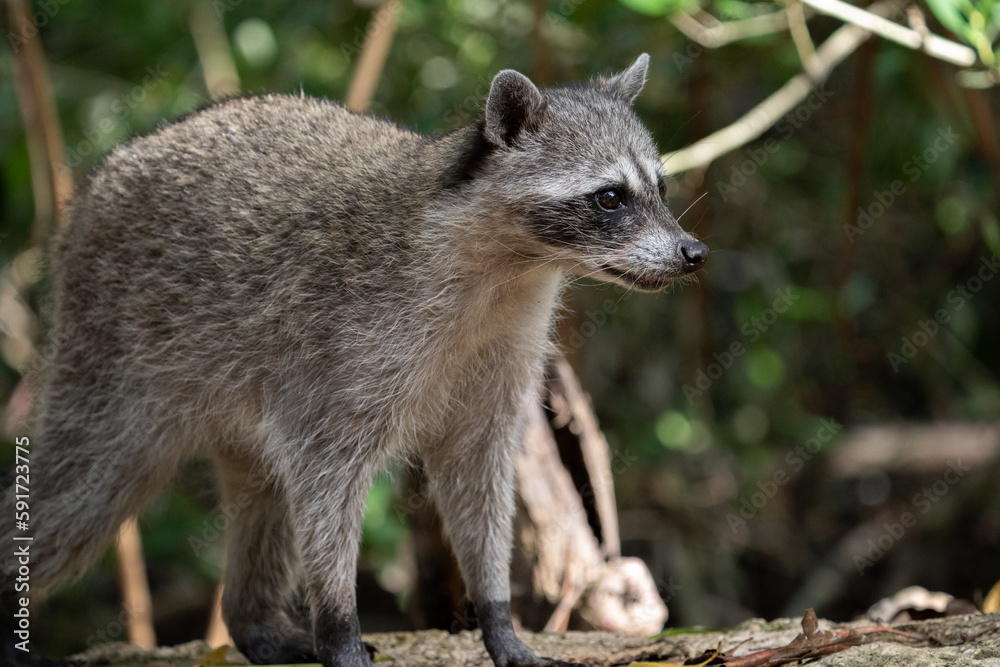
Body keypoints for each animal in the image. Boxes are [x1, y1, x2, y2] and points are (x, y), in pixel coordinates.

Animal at [1, 54, 706, 667]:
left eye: (661, 187)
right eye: (610, 197)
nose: (693, 253)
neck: (515, 268)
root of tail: (108, 171)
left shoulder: (504, 352)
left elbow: (478, 473)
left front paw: (497, 615)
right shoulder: (347, 347)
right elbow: (328, 484)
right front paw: (338, 624)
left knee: (263, 492)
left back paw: (252, 620)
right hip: (114, 349)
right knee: (80, 491)